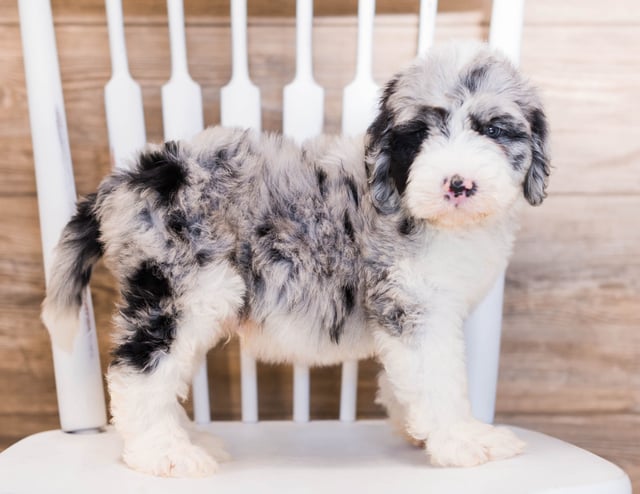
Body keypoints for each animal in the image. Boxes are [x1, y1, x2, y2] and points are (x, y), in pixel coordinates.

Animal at [41, 43, 552, 478]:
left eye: (492, 129)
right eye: (419, 136)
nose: (458, 184)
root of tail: (126, 180)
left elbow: (406, 381)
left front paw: (415, 429)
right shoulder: (416, 306)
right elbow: (441, 380)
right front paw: (466, 440)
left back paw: (190, 439)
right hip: (182, 290)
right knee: (138, 372)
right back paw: (164, 453)